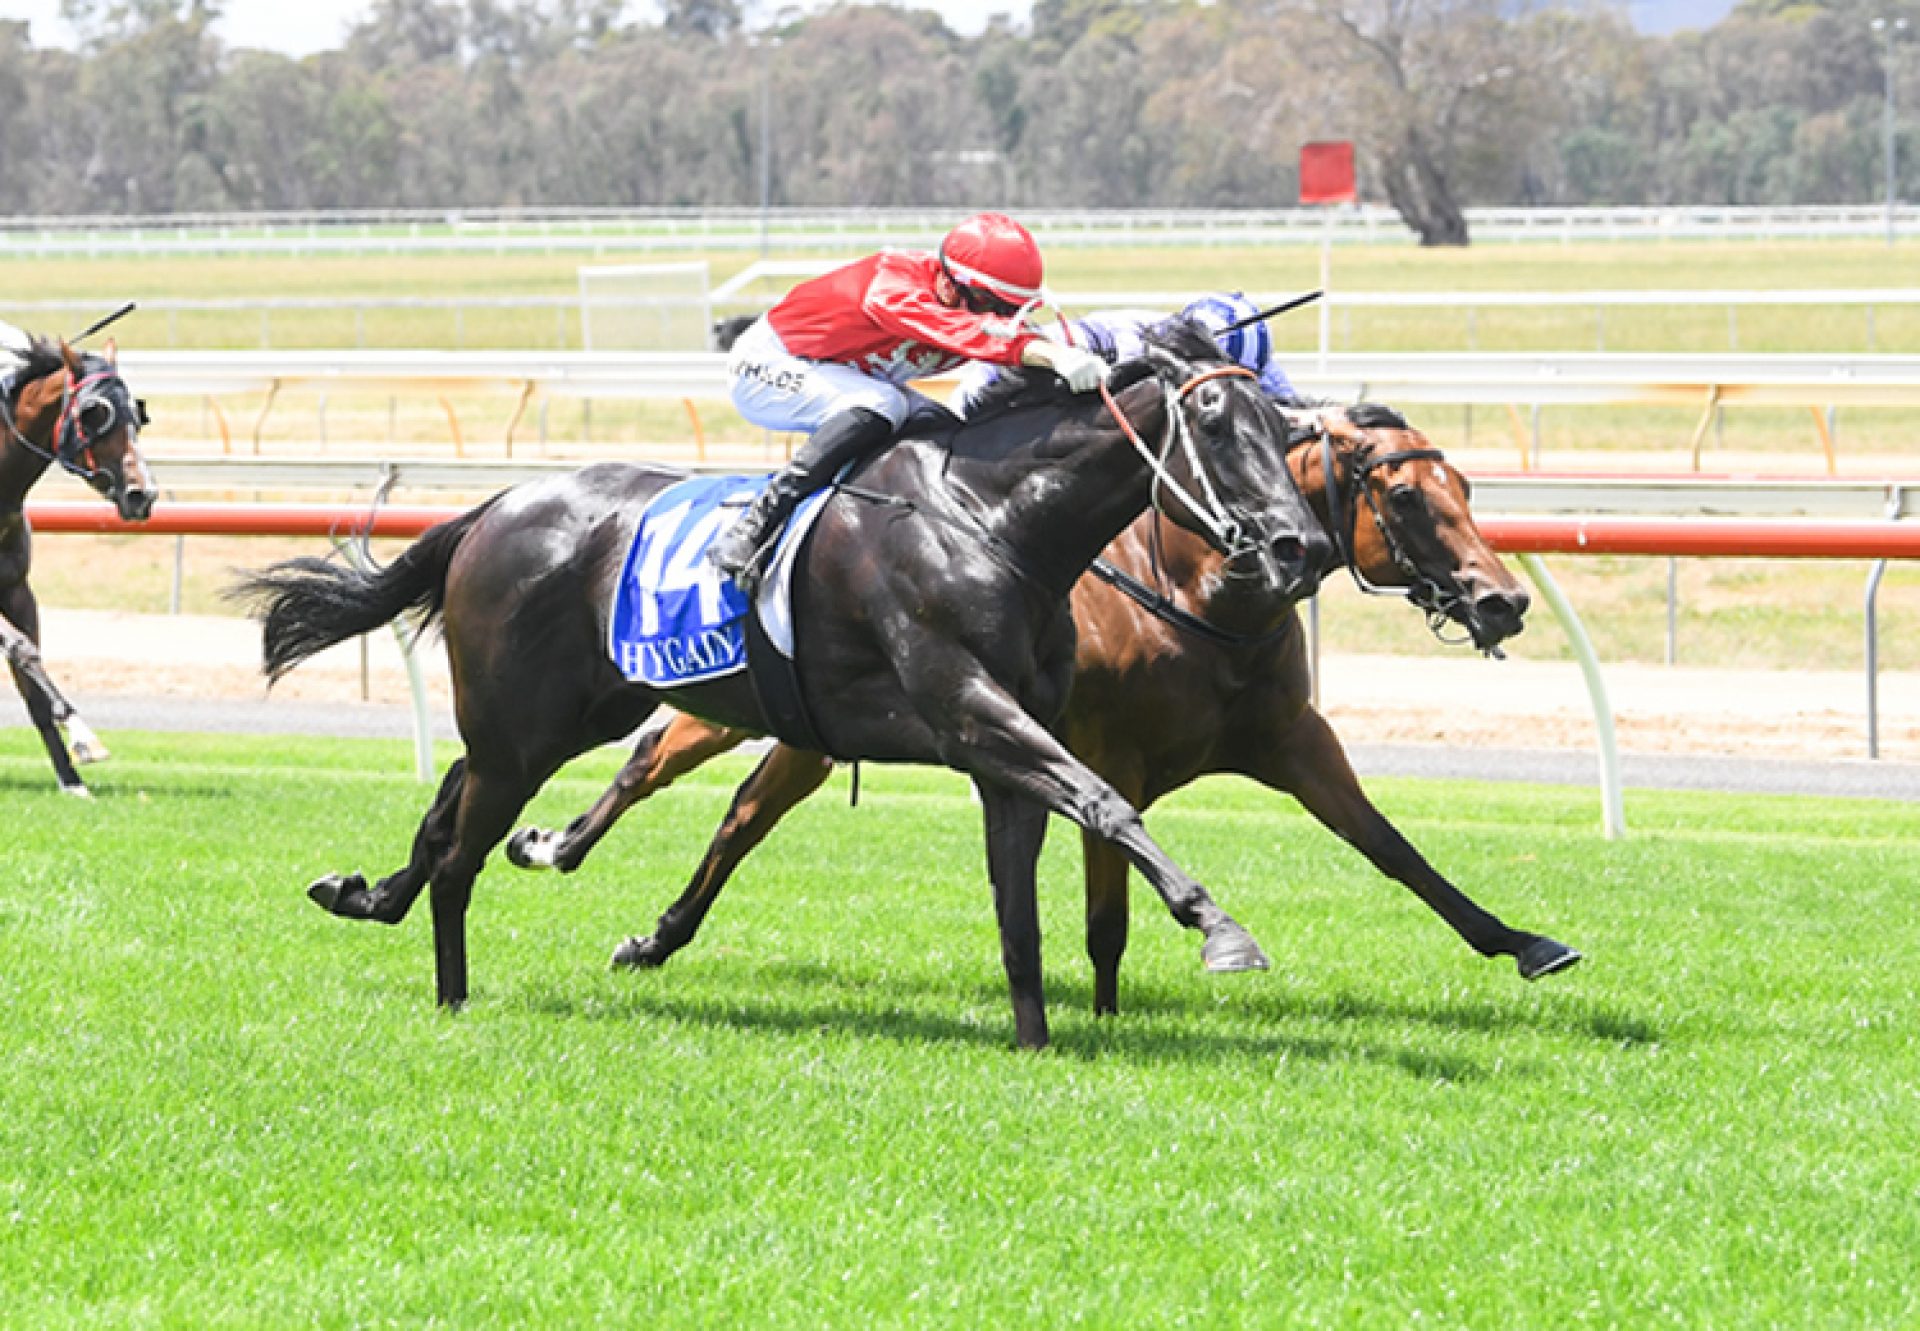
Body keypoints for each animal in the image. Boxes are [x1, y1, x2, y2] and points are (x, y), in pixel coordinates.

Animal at [0, 330, 156, 795]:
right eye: (94, 414)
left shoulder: (17, 591)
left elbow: (31, 680)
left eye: (137, 416)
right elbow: (22, 649)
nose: (143, 494)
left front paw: (71, 779)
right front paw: (83, 734)